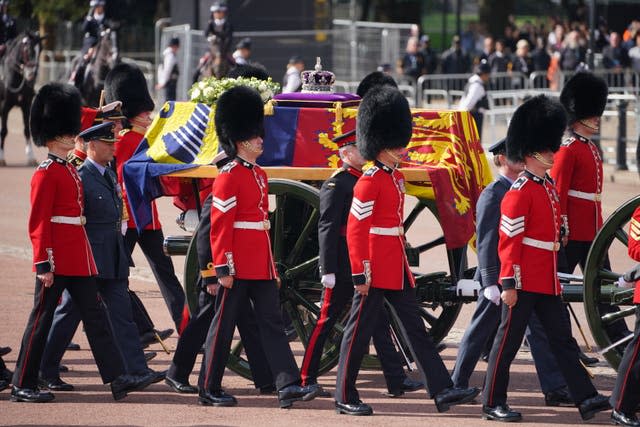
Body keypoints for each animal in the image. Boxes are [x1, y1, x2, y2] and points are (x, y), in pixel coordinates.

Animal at [0, 30, 43, 166]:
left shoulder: (26, 105)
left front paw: (31, 156)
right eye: (27, 50)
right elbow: (4, 131)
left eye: (40, 50)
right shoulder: (5, 106)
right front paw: (1, 157)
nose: (32, 74)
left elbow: (27, 130)